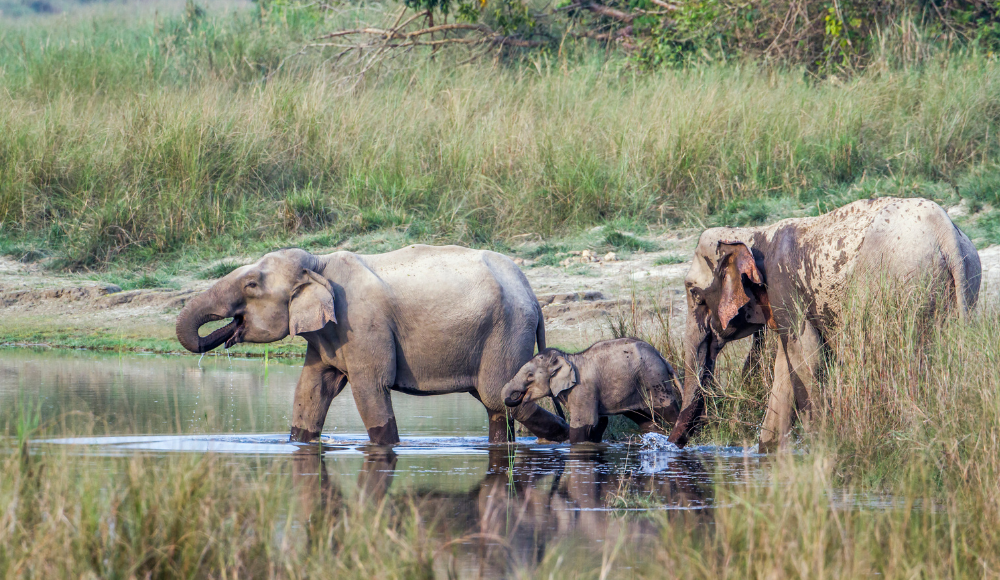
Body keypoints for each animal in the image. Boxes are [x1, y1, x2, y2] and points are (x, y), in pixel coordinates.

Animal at [176, 245, 572, 444]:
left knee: (500, 396)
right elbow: (311, 391)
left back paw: (572, 438)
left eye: (251, 286)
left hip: (506, 331)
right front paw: (298, 442)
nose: (226, 335)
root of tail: (532, 294)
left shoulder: (362, 325)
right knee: (496, 405)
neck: (319, 262)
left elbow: (371, 388)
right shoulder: (329, 336)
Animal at [498, 338, 680, 442]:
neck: (567, 358)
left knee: (668, 410)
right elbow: (599, 423)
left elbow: (581, 426)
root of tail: (661, 356)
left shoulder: (582, 390)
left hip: (655, 379)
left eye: (529, 376)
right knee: (645, 420)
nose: (516, 397)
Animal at [668, 197, 980, 450]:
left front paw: (818, 444)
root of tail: (946, 231)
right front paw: (769, 451)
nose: (672, 444)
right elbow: (785, 368)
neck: (751, 233)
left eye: (694, 293)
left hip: (898, 287)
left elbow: (807, 358)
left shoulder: (784, 288)